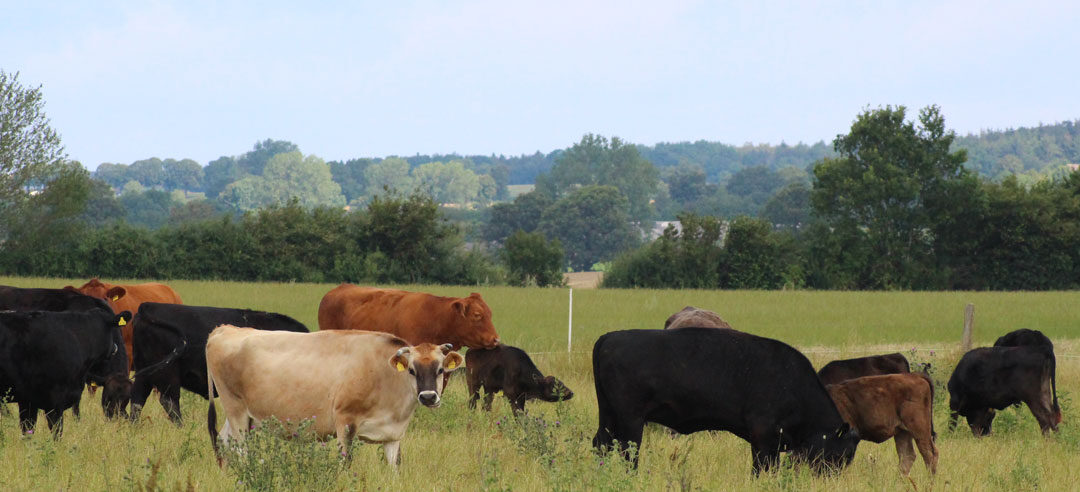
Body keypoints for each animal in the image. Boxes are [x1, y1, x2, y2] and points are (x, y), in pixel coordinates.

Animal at [0, 308, 131, 435]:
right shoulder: (55, 402)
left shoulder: (28, 401)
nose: (115, 347)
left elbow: (28, 431)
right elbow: (57, 432)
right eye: (109, 398)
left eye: (126, 398)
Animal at [204, 325, 462, 466]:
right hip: (236, 410)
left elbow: (395, 466)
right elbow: (345, 462)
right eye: (412, 370)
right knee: (240, 449)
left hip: (243, 417)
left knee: (224, 441)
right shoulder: (345, 422)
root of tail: (225, 329)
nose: (428, 397)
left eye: (440, 369)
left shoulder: (393, 435)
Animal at [591, 328, 859, 474]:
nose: (830, 477)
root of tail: (609, 337)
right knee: (628, 452)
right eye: (839, 454)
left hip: (608, 416)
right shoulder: (763, 439)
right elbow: (762, 469)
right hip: (631, 420)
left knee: (601, 444)